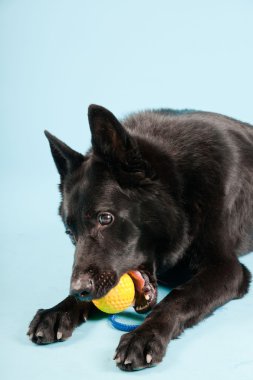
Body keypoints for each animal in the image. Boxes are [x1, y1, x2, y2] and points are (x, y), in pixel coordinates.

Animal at [26, 104, 252, 372]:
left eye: (105, 218)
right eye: (71, 233)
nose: (79, 290)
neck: (179, 185)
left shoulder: (227, 268)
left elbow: (180, 295)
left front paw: (144, 335)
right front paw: (58, 310)